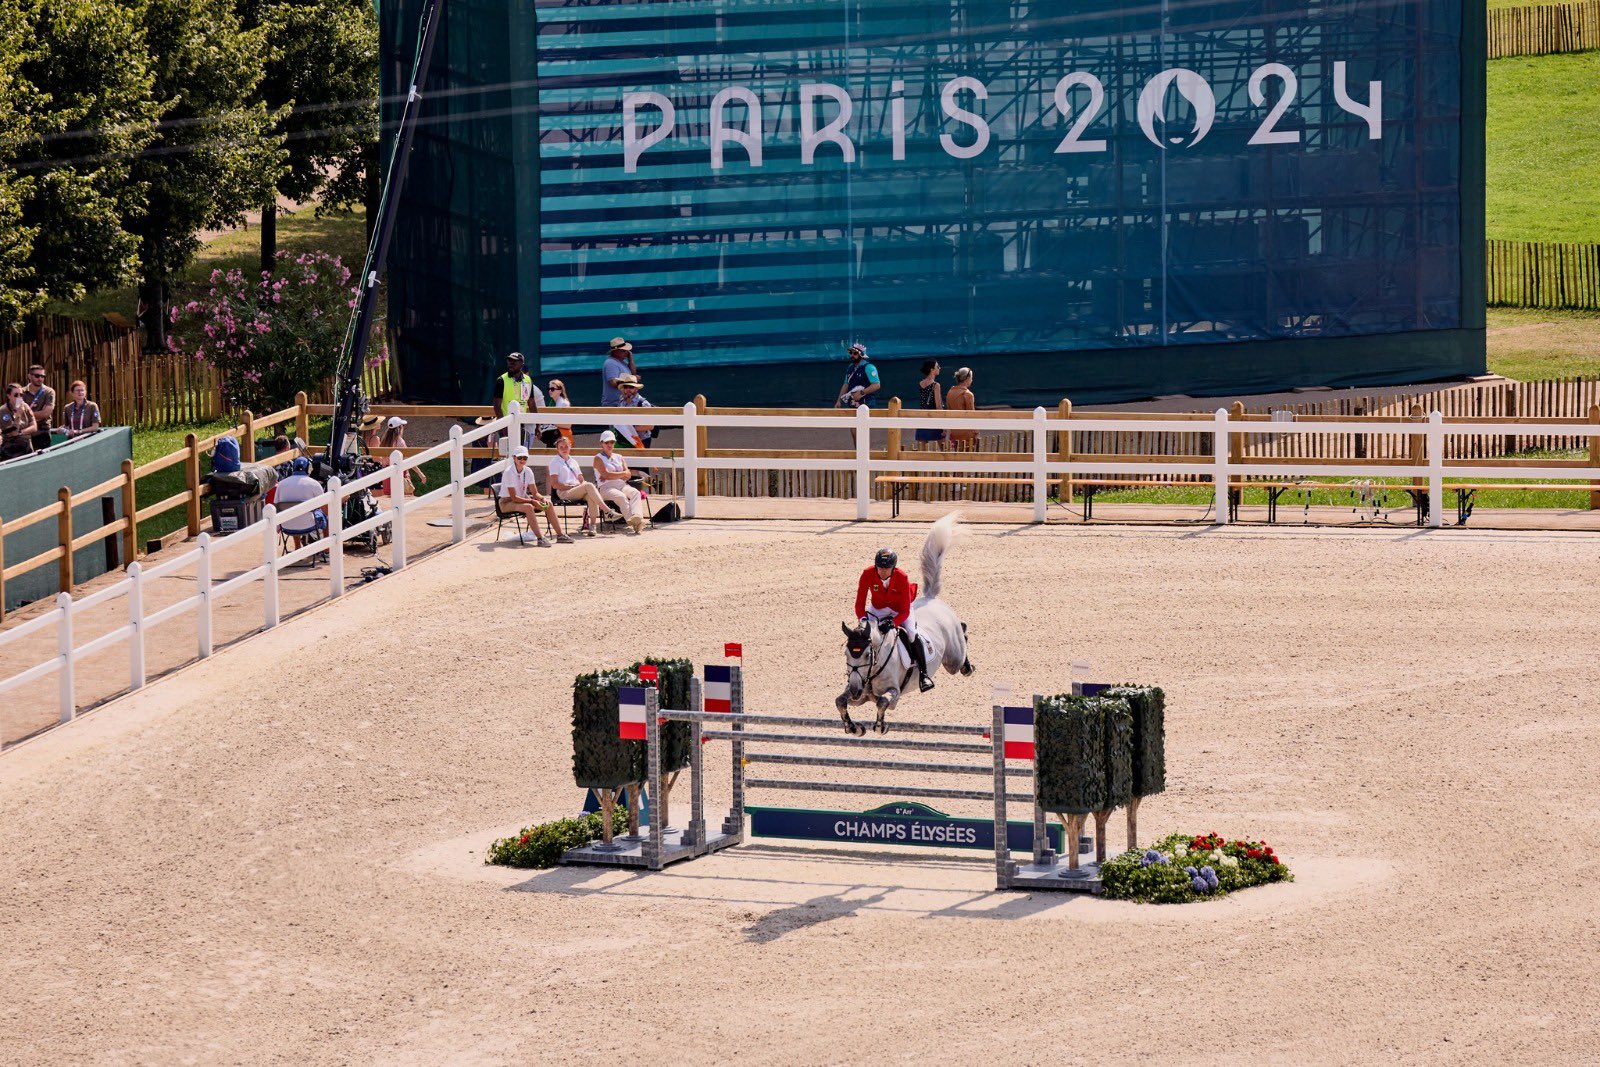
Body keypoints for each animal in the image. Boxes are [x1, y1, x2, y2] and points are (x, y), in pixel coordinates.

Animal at [838, 515, 972, 735]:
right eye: (847, 654)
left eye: (867, 655)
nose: (856, 689)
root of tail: (931, 598)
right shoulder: (860, 695)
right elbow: (840, 701)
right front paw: (853, 728)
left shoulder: (894, 693)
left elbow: (882, 702)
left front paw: (880, 726)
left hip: (952, 660)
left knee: (961, 642)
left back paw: (967, 665)